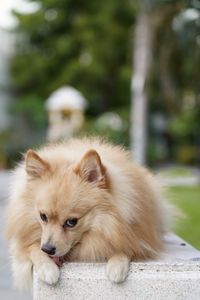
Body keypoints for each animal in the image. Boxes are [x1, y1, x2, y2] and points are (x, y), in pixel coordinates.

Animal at [5, 138, 169, 290]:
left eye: (71, 222)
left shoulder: (140, 238)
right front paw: (47, 269)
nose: (48, 249)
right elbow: (32, 248)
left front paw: (117, 266)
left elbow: (127, 246)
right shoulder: (23, 242)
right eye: (43, 217)